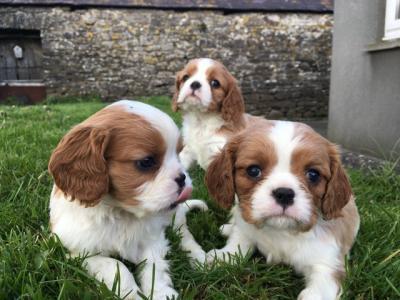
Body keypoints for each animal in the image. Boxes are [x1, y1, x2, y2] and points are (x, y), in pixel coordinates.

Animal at [48, 101, 208, 300]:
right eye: (146, 162)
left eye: (178, 153)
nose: (183, 178)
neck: (120, 211)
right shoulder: (80, 252)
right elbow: (117, 267)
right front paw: (132, 294)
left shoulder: (153, 239)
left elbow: (154, 267)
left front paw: (161, 293)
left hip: (175, 217)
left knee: (184, 234)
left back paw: (199, 258)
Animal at [206, 119, 360, 300]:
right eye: (253, 170)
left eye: (313, 174)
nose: (284, 194)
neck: (281, 231)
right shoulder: (245, 229)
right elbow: (239, 242)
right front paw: (222, 258)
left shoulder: (327, 264)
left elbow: (319, 288)